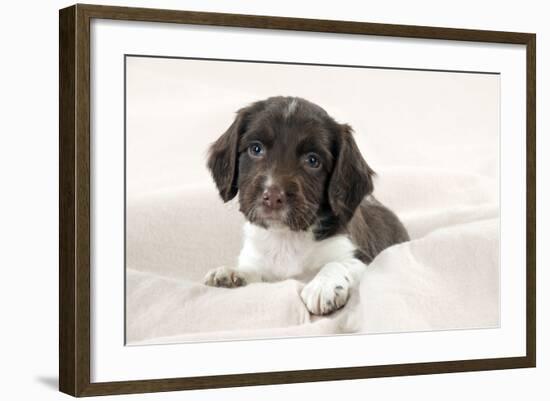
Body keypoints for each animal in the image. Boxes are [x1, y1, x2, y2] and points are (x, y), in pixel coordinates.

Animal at [204, 95, 410, 314]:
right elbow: (253, 271)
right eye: (255, 149)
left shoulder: (363, 258)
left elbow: (339, 263)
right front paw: (231, 273)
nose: (272, 196)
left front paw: (324, 285)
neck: (286, 238)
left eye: (313, 161)